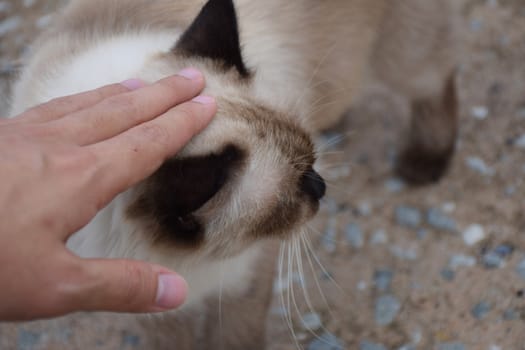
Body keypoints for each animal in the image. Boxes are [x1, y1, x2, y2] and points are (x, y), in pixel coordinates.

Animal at [9, 0, 458, 348]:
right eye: (294, 189)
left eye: (308, 166)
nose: (321, 184)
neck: (190, 267)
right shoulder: (156, 303)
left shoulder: (247, 279)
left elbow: (235, 337)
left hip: (401, 55)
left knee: (435, 83)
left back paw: (424, 162)